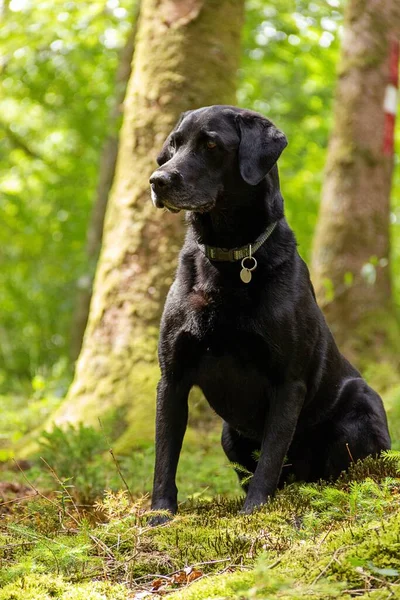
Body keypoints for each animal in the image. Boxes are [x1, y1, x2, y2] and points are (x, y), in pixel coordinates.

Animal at [148, 104, 390, 520]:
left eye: (211, 144)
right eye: (174, 144)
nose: (157, 180)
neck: (229, 258)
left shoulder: (287, 381)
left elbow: (272, 455)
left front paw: (254, 511)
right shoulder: (173, 377)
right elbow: (165, 455)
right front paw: (159, 515)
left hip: (363, 408)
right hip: (228, 434)